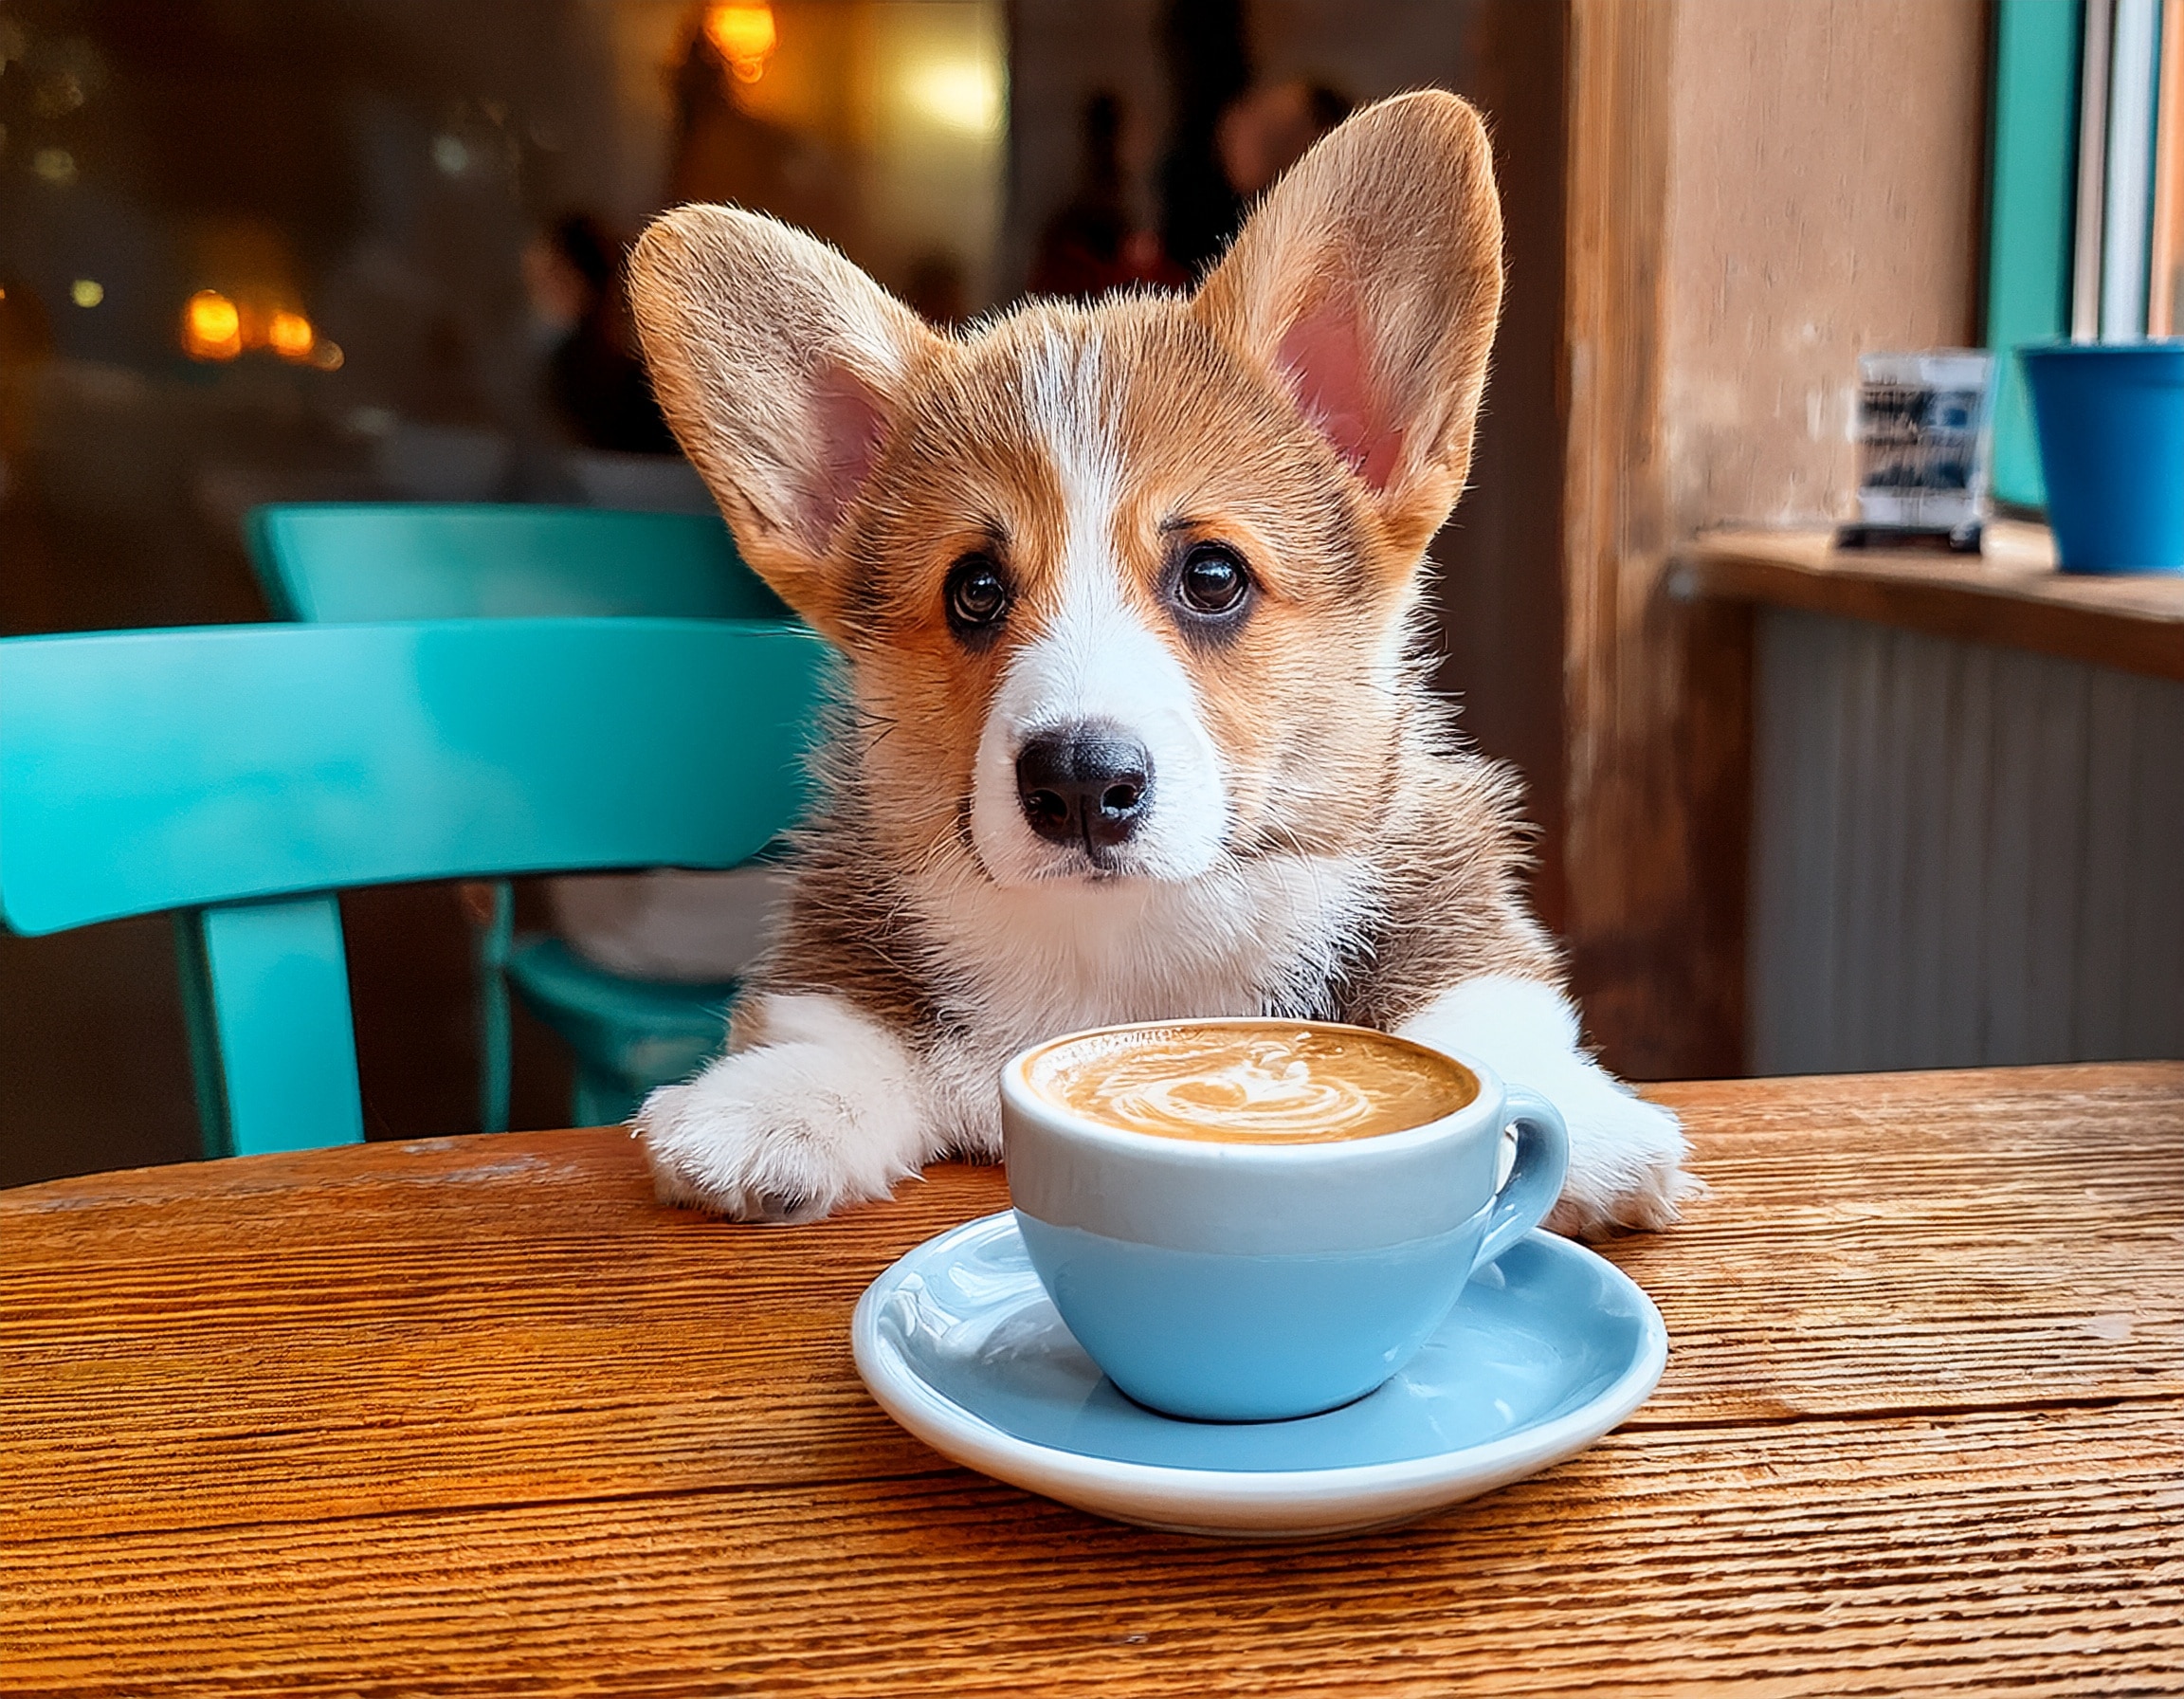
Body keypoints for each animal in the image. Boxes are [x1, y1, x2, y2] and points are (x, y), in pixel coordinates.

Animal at [624, 89, 1694, 1232]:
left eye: (1213, 576)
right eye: (974, 589)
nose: (1080, 783)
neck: (1128, 942)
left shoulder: (1453, 918)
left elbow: (1482, 1015)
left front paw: (1588, 1135)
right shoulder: (840, 950)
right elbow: (831, 1022)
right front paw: (772, 1108)